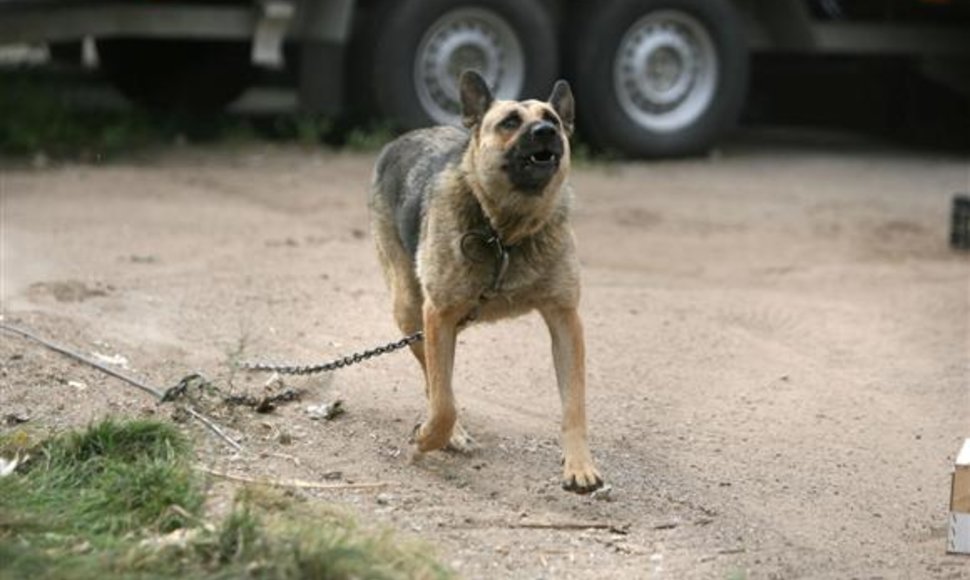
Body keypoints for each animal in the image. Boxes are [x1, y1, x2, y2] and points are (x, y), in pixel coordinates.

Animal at [368, 70, 596, 492]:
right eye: (510, 122)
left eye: (553, 120)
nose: (545, 132)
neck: (505, 233)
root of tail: (401, 140)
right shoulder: (437, 315)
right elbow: (443, 403)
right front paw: (430, 437)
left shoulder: (565, 320)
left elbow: (574, 404)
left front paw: (579, 465)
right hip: (410, 311)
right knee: (435, 383)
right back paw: (451, 432)